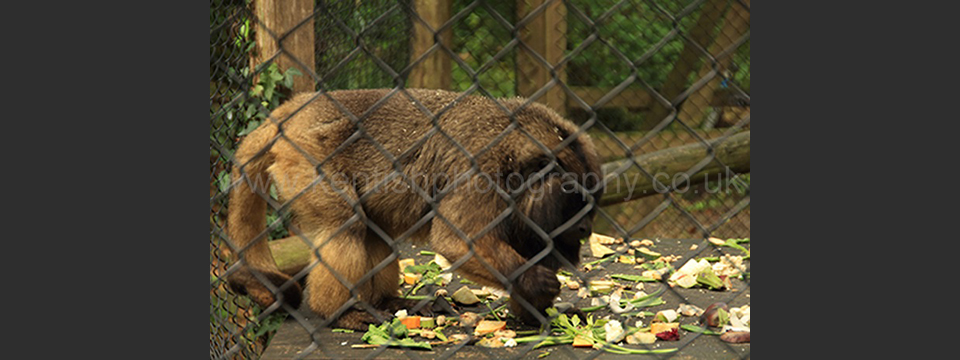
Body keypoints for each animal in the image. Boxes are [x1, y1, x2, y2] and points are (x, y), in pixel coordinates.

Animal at [227, 88, 600, 330]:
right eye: (576, 206)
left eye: (591, 208)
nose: (586, 229)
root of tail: (294, 110)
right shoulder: (482, 172)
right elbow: (455, 242)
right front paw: (534, 281)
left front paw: (539, 315)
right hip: (305, 157)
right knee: (346, 224)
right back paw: (339, 312)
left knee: (374, 230)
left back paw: (386, 302)